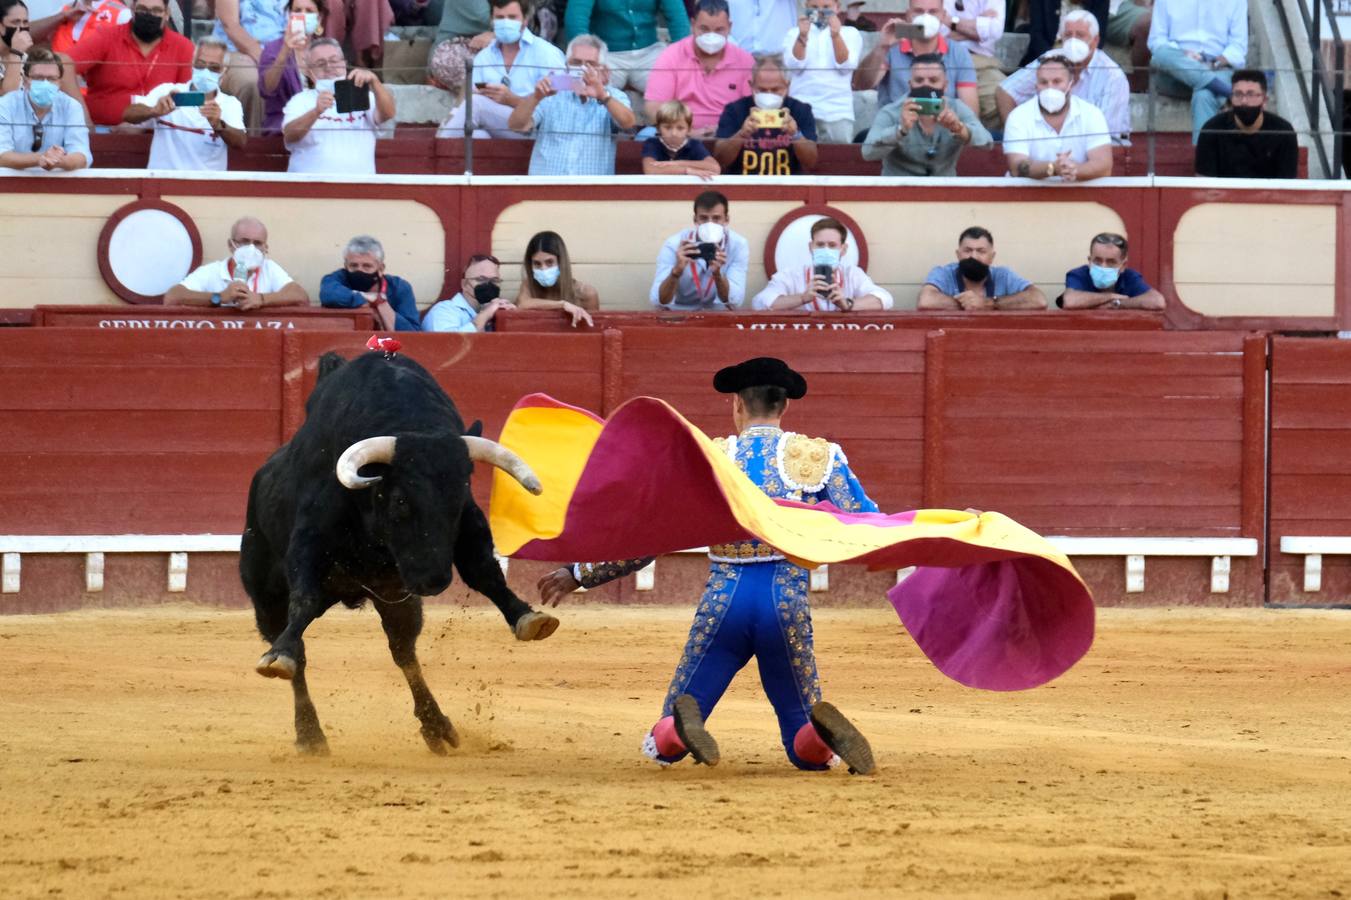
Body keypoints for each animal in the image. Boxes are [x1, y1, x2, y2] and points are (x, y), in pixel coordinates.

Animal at [240, 345, 556, 751]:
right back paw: (308, 731)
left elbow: (485, 572)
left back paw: (436, 726)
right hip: (265, 595)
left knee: (403, 650)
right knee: (298, 649)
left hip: (395, 597)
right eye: (401, 501)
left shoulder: (468, 525)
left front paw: (528, 617)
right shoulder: (310, 539)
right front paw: (279, 655)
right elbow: (304, 599)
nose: (433, 580)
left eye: (457, 498)